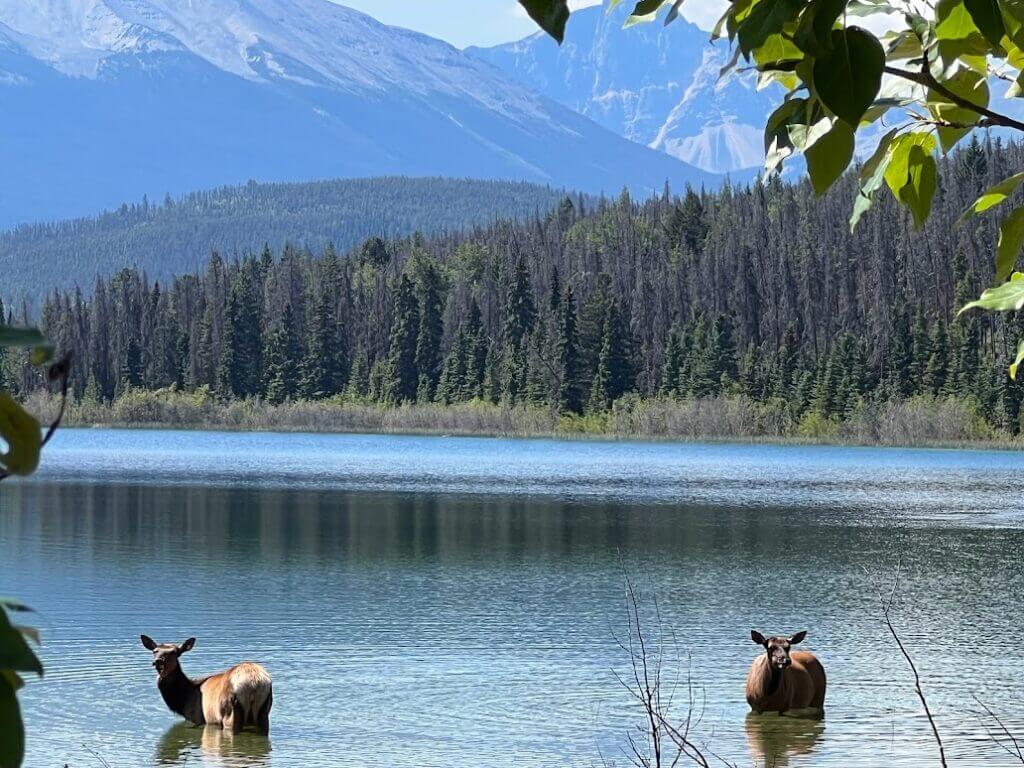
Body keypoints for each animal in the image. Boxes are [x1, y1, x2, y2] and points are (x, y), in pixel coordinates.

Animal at [142, 634, 276, 737]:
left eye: (175, 652)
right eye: (155, 651)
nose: (158, 661)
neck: (184, 700)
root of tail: (254, 683)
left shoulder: (197, 718)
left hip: (229, 712)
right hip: (265, 710)